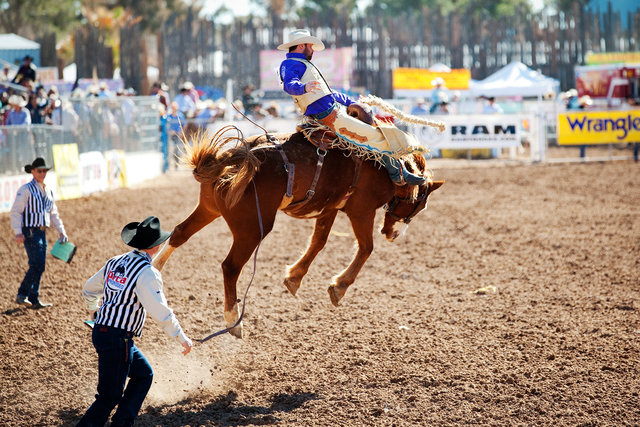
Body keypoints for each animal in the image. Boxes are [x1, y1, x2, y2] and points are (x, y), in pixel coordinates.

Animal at [152, 125, 442, 340]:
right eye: (420, 204)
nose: (394, 235)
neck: (385, 168)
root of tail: (239, 155)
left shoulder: (329, 209)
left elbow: (319, 241)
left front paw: (294, 278)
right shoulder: (361, 210)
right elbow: (365, 248)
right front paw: (338, 287)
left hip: (209, 208)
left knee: (180, 233)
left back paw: (154, 270)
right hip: (252, 229)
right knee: (230, 266)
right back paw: (234, 320)